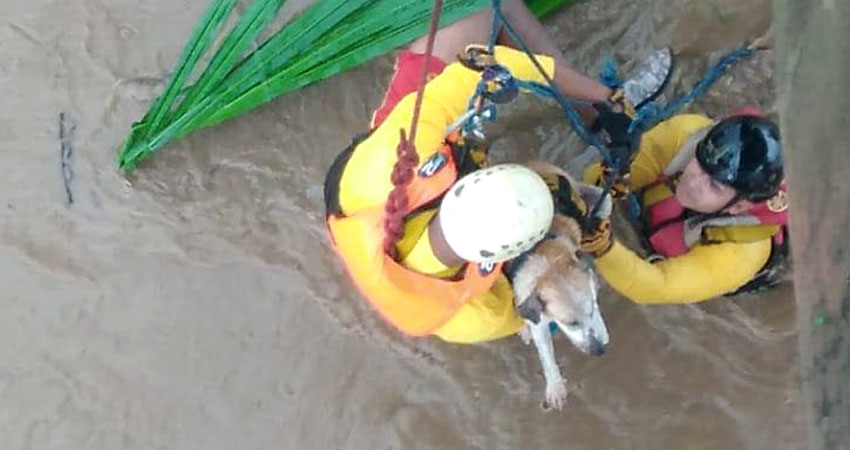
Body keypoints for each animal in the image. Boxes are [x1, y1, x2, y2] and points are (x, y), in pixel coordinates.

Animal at [510, 163, 608, 412]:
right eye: (570, 323)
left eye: (593, 309)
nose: (600, 350)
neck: (550, 259)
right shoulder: (536, 313)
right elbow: (546, 355)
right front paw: (555, 386)